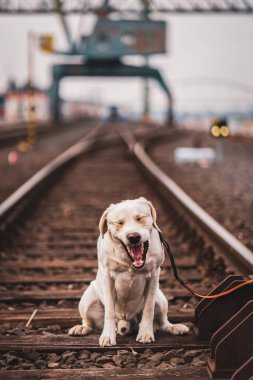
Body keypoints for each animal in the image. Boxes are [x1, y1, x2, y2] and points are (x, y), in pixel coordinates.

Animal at [68, 197, 189, 346]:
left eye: (140, 218)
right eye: (119, 223)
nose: (133, 236)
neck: (130, 262)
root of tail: (126, 322)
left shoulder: (154, 275)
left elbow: (148, 309)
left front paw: (145, 333)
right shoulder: (108, 277)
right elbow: (109, 311)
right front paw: (107, 336)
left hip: (160, 300)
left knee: (163, 323)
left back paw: (175, 327)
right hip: (87, 299)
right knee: (89, 322)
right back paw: (81, 328)